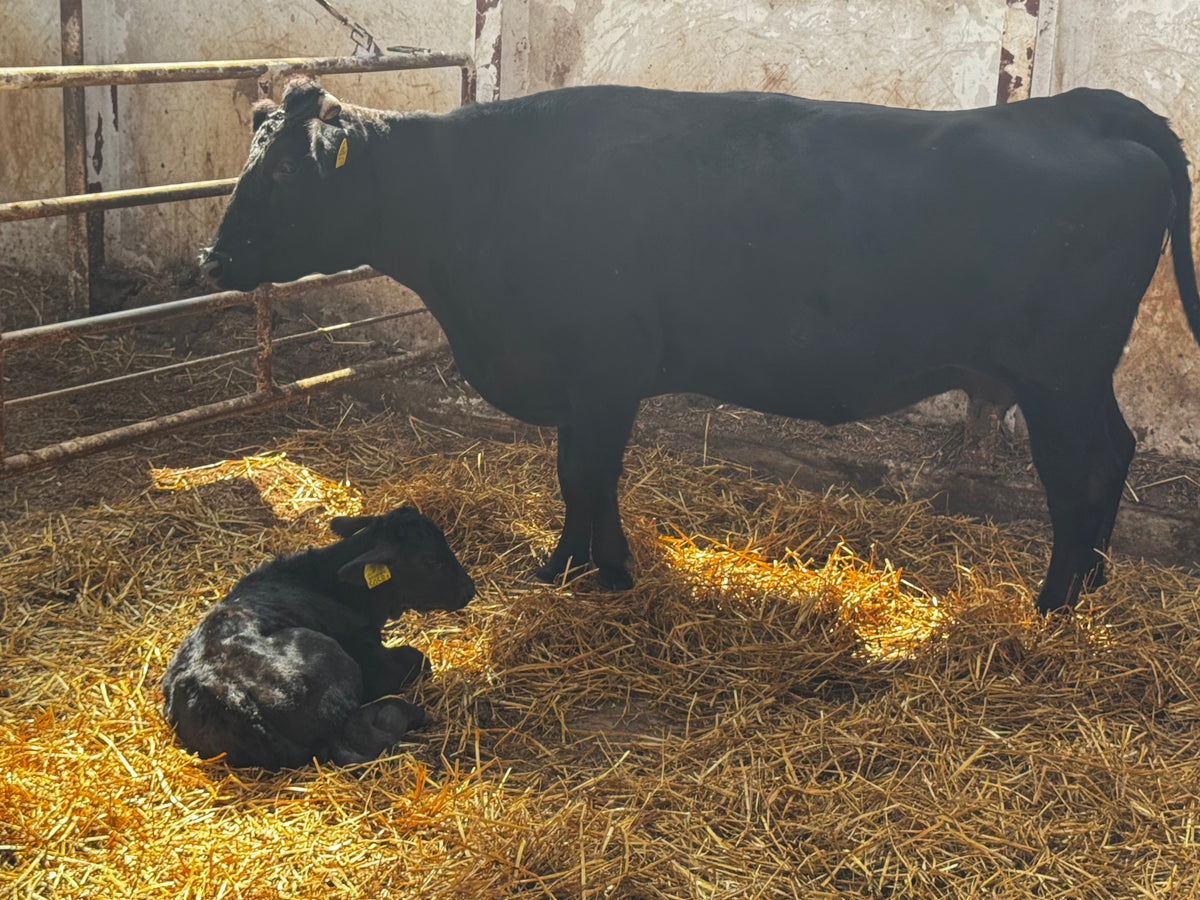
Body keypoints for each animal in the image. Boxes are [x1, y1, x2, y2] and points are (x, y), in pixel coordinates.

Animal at [201, 77, 1200, 613]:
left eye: (282, 173)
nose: (213, 256)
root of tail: (1071, 108)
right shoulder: (588, 386)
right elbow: (585, 478)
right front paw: (582, 566)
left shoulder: (603, 370)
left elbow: (582, 474)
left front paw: (593, 573)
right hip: (1077, 378)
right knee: (1114, 454)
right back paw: (1093, 585)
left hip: (1057, 377)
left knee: (1079, 473)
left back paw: (1055, 601)